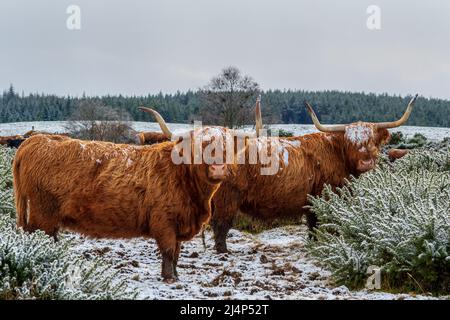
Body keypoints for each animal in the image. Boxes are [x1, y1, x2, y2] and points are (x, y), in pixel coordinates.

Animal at [14, 126, 236, 282]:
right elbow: (168, 251)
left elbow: (176, 253)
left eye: (226, 147)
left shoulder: (179, 221)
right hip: (42, 213)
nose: (218, 169)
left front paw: (176, 275)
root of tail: (36, 140)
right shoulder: (164, 221)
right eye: (201, 146)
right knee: (39, 238)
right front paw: (169, 278)